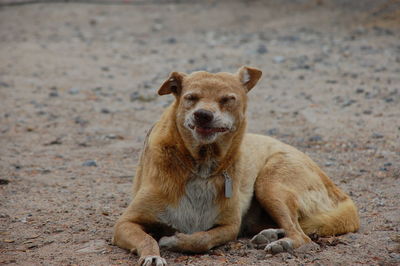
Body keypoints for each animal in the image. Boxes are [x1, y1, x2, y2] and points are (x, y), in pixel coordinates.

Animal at [111, 66, 360, 264]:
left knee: (301, 234)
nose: (203, 115)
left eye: (227, 99)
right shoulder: (125, 223)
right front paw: (152, 255)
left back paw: (282, 243)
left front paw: (176, 240)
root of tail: (337, 190)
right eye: (191, 97)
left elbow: (201, 239)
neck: (201, 167)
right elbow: (147, 238)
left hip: (270, 184)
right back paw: (272, 235)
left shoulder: (229, 226)